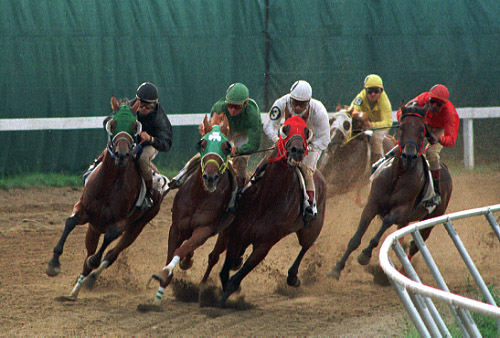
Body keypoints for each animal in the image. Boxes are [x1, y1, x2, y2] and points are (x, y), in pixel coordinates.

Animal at [45, 96, 165, 300]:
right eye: (112, 123)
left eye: (135, 125)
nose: (122, 154)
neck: (108, 184)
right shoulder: (83, 209)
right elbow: (70, 222)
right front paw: (53, 264)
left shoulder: (121, 223)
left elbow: (105, 244)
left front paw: (92, 265)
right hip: (94, 227)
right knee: (89, 254)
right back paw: (75, 290)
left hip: (137, 226)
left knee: (110, 254)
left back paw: (90, 279)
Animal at [146, 112, 236, 304]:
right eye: (202, 144)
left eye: (226, 147)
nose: (210, 177)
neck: (199, 197)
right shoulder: (176, 227)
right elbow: (175, 251)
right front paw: (158, 295)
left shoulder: (204, 229)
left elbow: (182, 249)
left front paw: (164, 273)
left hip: (226, 231)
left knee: (213, 257)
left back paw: (202, 287)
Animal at [205, 116, 326, 308]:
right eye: (285, 129)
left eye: (307, 131)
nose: (297, 151)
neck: (267, 197)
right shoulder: (237, 233)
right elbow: (225, 268)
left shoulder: (265, 244)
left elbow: (234, 279)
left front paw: (219, 304)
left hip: (311, 229)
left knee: (306, 245)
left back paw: (293, 277)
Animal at [328, 103, 454, 280]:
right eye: (401, 127)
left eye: (422, 129)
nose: (409, 156)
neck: (397, 175)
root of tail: (445, 168)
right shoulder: (371, 203)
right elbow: (355, 239)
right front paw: (337, 268)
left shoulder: (400, 210)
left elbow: (385, 223)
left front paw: (365, 254)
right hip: (406, 220)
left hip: (431, 219)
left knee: (415, 246)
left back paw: (402, 273)